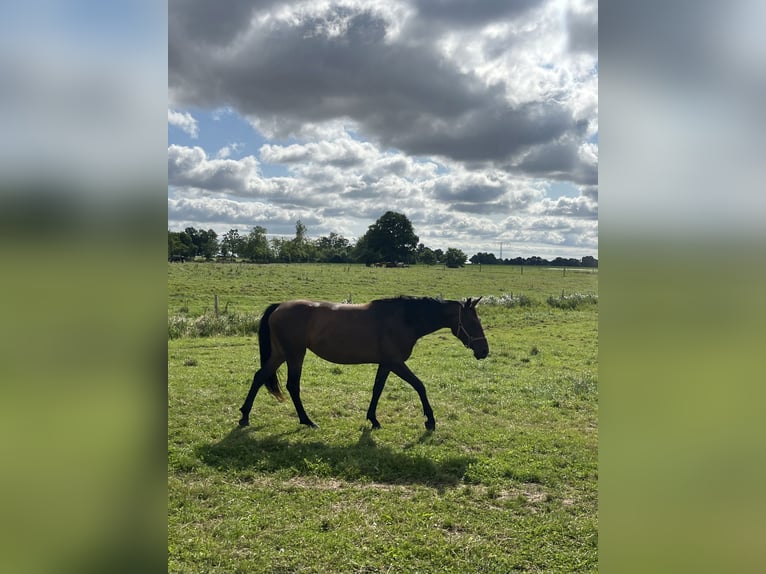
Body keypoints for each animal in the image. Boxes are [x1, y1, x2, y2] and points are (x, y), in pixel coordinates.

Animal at [240, 296, 488, 432]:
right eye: (472, 322)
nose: (484, 351)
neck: (404, 319)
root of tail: (280, 306)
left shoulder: (386, 364)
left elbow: (377, 389)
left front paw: (373, 420)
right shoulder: (396, 363)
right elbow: (420, 386)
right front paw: (430, 420)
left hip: (280, 354)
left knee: (259, 376)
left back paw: (245, 416)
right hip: (294, 354)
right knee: (292, 385)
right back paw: (307, 421)